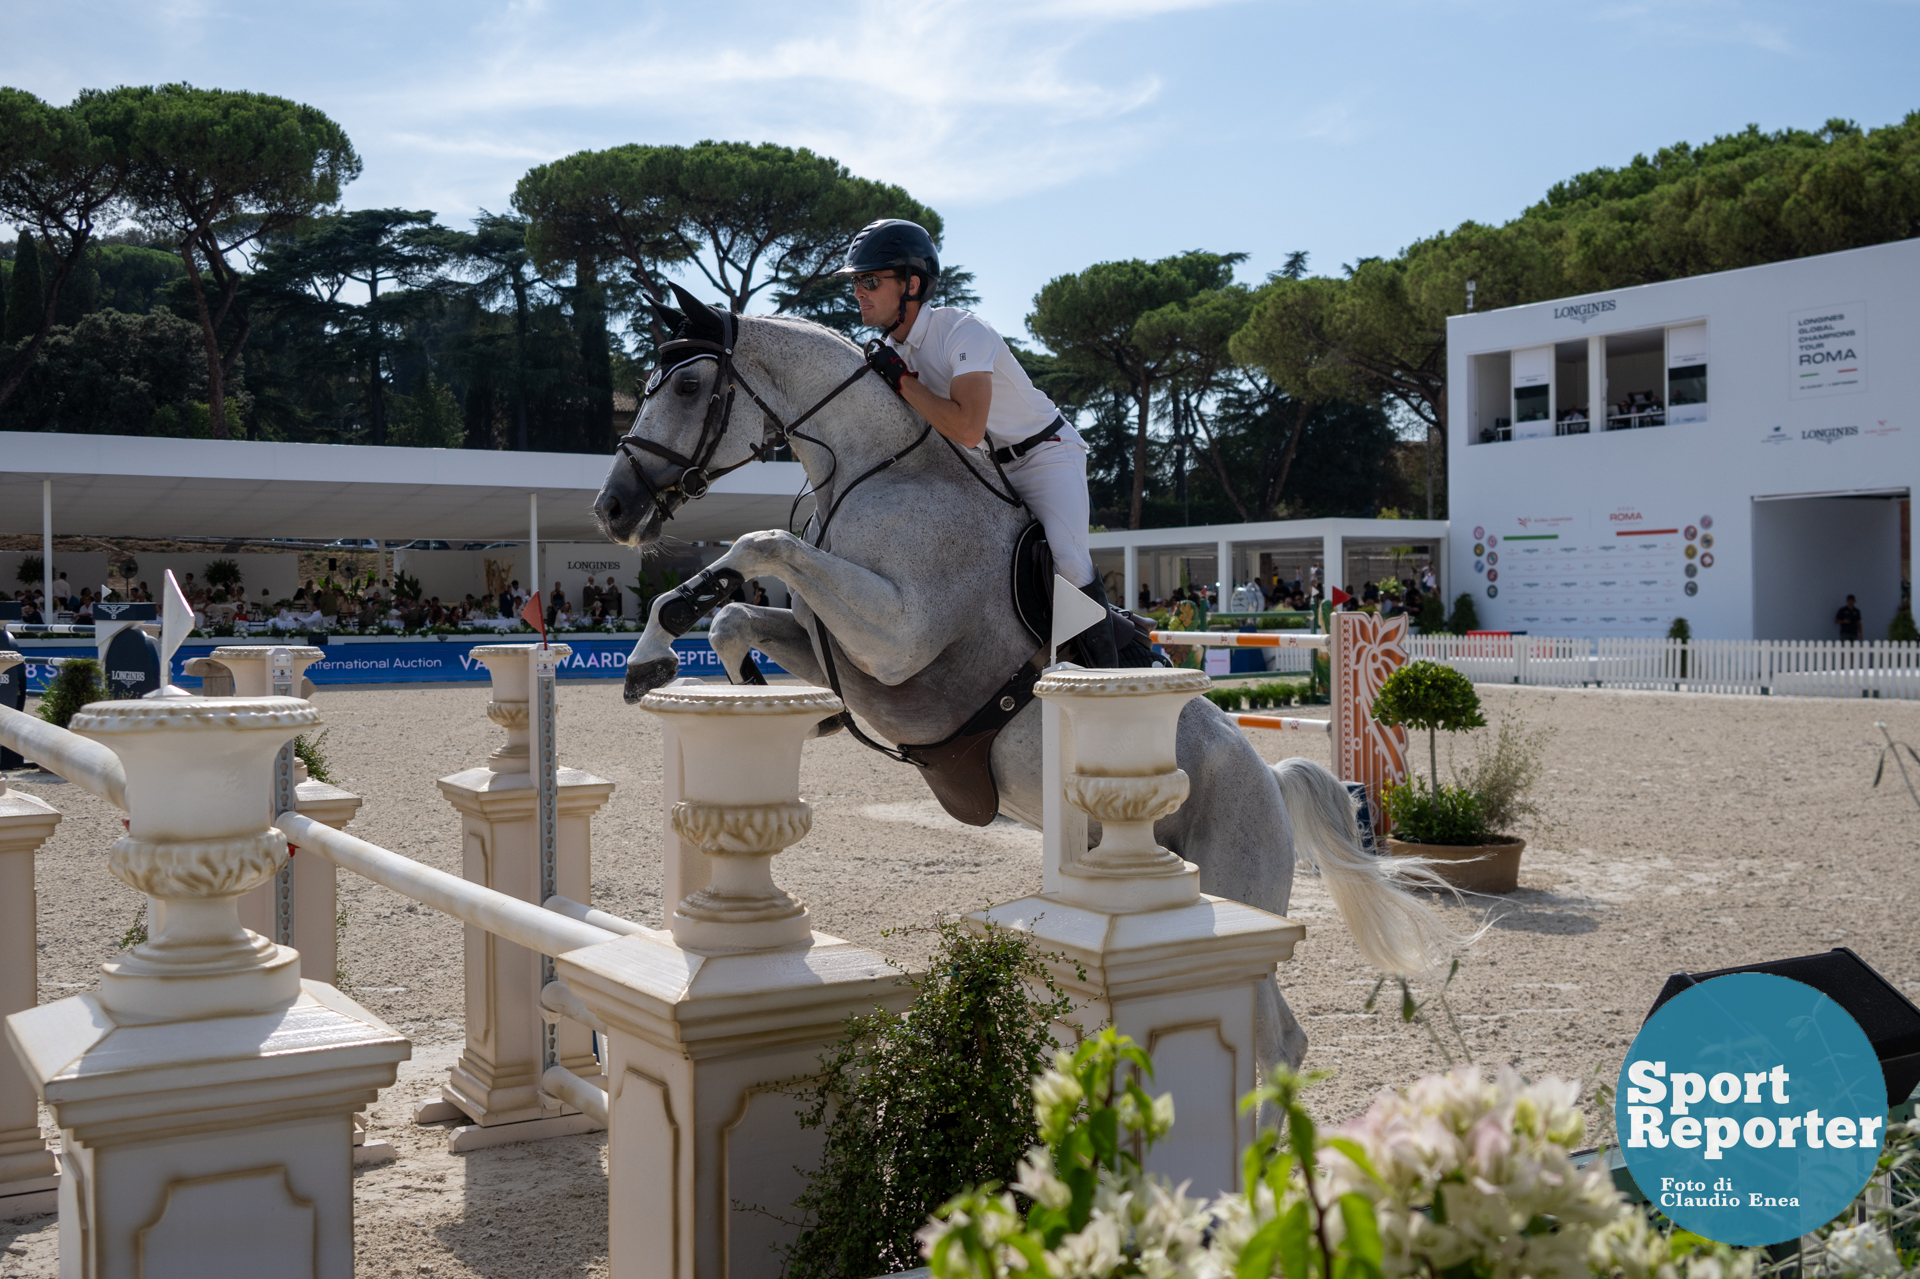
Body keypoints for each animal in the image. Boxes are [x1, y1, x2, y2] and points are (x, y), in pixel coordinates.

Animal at [591, 295, 1443, 1067]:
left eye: (688, 386)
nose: (614, 508)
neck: (873, 475)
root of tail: (1270, 778)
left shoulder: (897, 642)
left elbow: (757, 540)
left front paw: (678, 648)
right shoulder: (830, 643)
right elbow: (733, 616)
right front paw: (669, 662)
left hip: (1234, 889)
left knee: (1279, 1038)